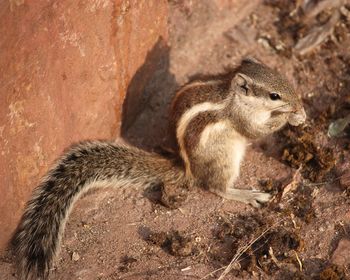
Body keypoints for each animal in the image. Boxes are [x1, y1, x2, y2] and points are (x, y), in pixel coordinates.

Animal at [10, 58, 306, 278]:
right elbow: (256, 131)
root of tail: (186, 168)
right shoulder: (241, 118)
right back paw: (245, 194)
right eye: (274, 95)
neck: (232, 93)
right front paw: (290, 117)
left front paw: (300, 112)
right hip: (225, 159)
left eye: (283, 77)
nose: (297, 102)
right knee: (216, 187)